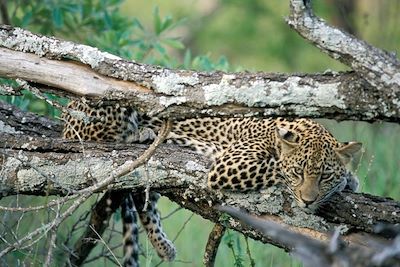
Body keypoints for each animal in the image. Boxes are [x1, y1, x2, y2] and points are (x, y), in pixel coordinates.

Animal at [61, 100, 362, 266]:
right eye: (299, 172)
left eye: (324, 176)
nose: (308, 202)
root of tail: (66, 112)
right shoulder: (229, 164)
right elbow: (275, 167)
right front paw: (345, 181)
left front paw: (348, 179)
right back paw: (140, 132)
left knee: (142, 197)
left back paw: (164, 247)